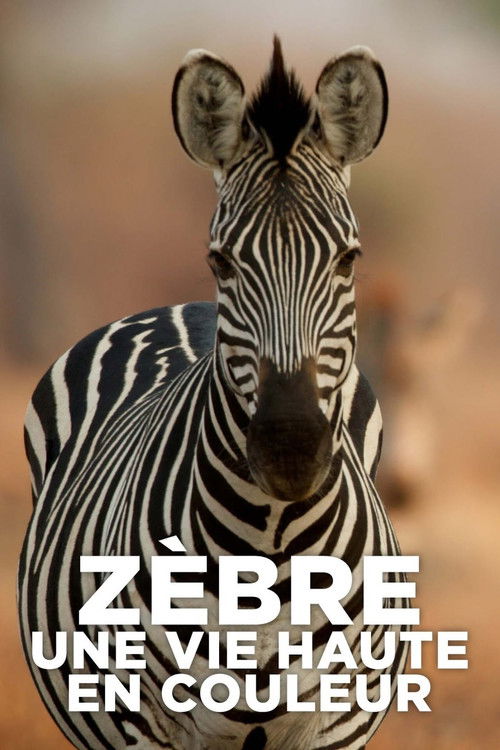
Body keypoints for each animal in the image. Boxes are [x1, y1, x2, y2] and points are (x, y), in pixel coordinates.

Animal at [19, 38, 410, 750]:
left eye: (349, 260)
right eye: (221, 261)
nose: (290, 449)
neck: (272, 550)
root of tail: (187, 308)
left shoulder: (337, 723)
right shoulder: (148, 726)